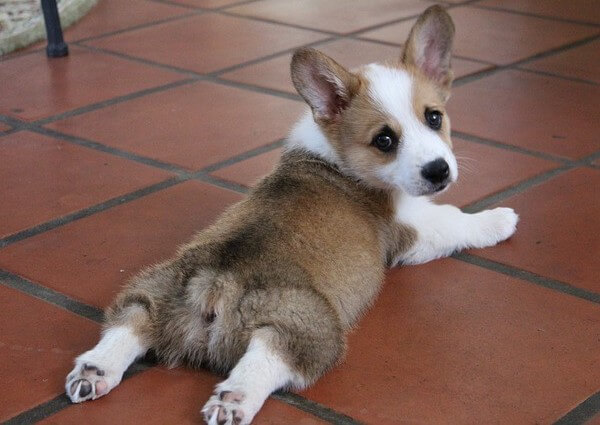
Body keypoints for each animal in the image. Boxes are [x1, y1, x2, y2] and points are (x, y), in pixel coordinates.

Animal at [64, 6, 516, 424]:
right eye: (384, 140)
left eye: (434, 117)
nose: (439, 171)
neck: (335, 153)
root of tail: (216, 283)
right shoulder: (412, 231)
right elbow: (454, 220)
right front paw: (499, 220)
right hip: (308, 328)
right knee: (270, 357)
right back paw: (233, 400)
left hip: (150, 291)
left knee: (130, 321)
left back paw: (94, 371)